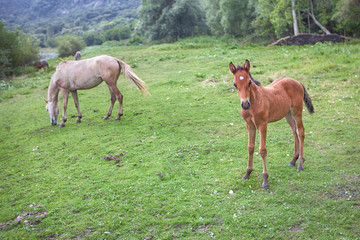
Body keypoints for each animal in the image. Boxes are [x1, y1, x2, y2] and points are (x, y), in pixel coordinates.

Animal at [229, 60, 314, 189]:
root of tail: (297, 82)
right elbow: (250, 147)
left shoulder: (262, 125)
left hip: (297, 112)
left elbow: (262, 150)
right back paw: (293, 160)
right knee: (294, 132)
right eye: (235, 84)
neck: (254, 102)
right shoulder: (250, 125)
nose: (245, 104)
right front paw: (247, 173)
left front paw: (265, 181)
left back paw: (300, 163)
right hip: (288, 114)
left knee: (301, 132)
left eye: (249, 82)